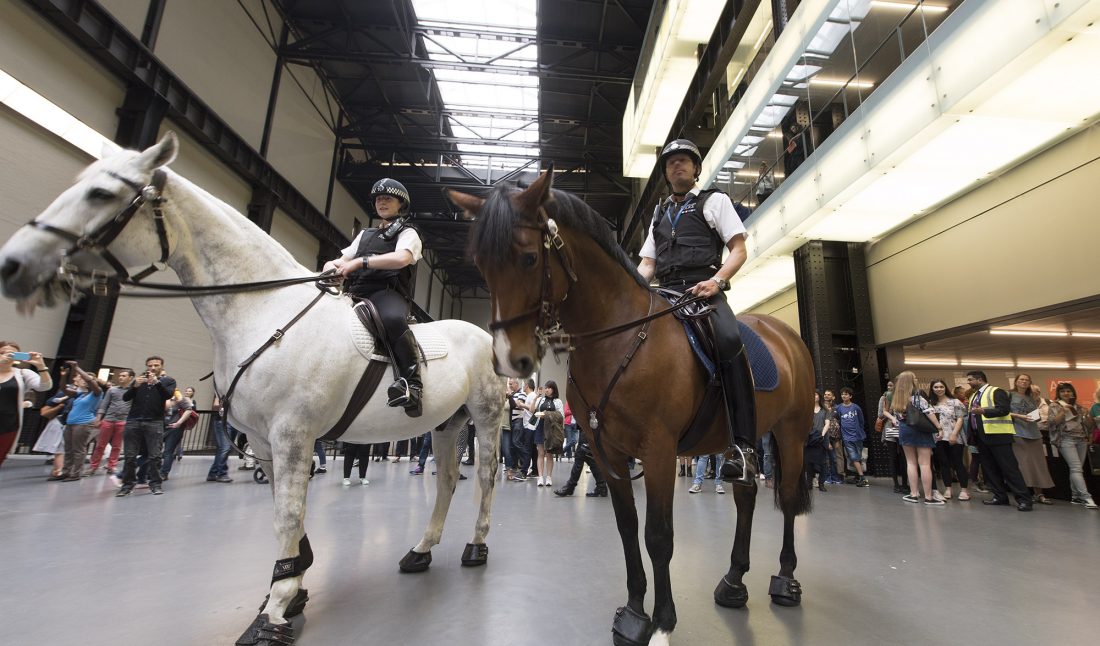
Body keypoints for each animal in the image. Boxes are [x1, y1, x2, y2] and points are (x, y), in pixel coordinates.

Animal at [0, 132, 503, 646]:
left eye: (101, 194)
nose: (13, 265)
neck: (263, 310)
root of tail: (480, 333)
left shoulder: (293, 436)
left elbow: (287, 515)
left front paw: (273, 613)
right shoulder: (264, 442)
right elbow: (283, 510)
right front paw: (293, 587)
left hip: (485, 419)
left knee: (484, 477)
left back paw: (475, 547)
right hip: (445, 425)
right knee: (446, 481)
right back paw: (421, 550)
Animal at [446, 169, 818, 642]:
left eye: (529, 259)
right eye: (481, 265)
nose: (511, 360)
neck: (620, 337)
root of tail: (784, 334)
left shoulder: (658, 450)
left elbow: (658, 536)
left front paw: (663, 622)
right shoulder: (608, 450)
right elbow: (627, 528)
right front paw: (635, 614)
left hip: (791, 433)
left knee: (786, 498)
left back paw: (785, 580)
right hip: (741, 441)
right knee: (745, 493)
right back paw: (734, 582)